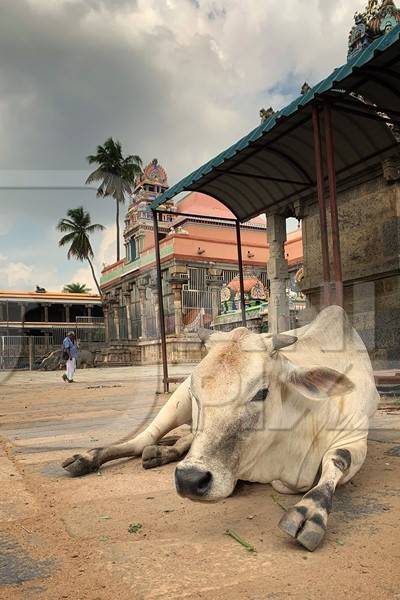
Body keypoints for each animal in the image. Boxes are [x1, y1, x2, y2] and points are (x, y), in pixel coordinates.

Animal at [62, 308, 378, 552]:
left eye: (261, 392)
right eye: (196, 391)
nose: (189, 480)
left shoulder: (354, 436)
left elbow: (337, 459)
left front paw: (310, 513)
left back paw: (161, 453)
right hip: (175, 403)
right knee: (144, 438)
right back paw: (89, 458)